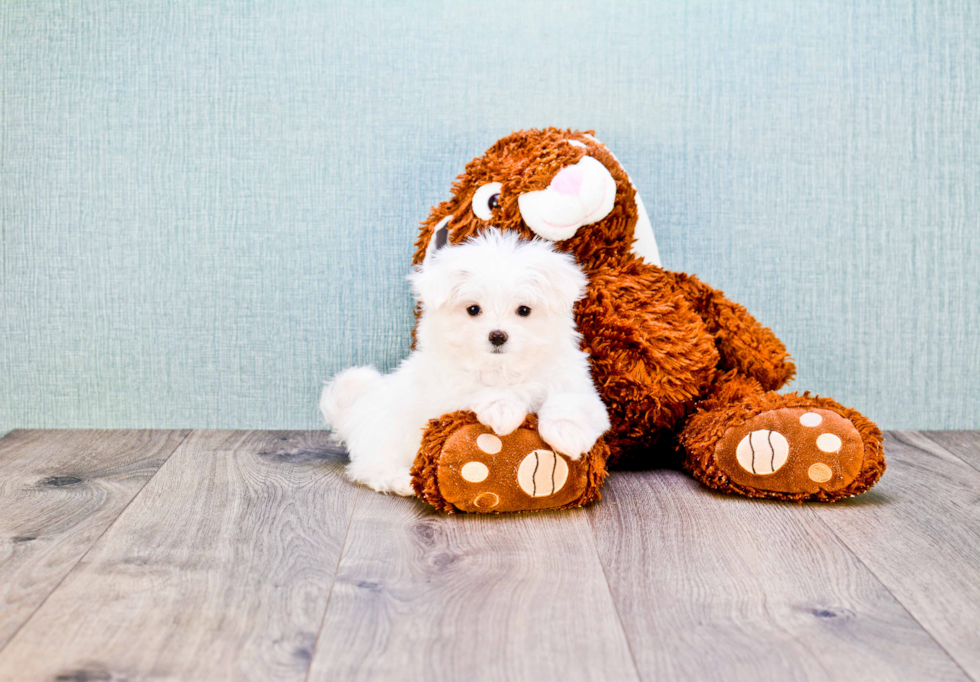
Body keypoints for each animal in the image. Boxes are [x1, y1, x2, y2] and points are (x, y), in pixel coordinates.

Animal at [322, 228, 608, 494]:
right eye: (473, 309)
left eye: (524, 310)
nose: (497, 335)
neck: (503, 368)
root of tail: (351, 412)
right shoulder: (448, 394)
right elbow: (482, 390)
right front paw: (503, 409)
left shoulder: (578, 386)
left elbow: (569, 400)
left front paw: (567, 432)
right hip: (384, 436)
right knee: (371, 468)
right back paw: (403, 481)